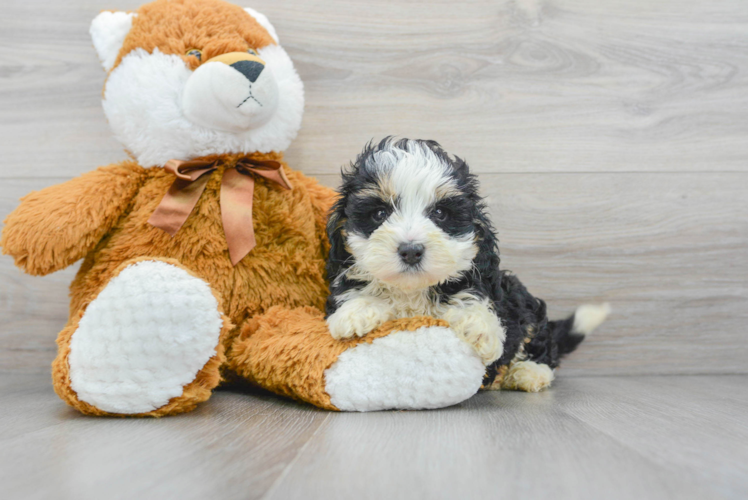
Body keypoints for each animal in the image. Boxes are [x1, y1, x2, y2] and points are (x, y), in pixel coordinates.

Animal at [326, 138, 608, 390]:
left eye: (440, 213)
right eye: (379, 214)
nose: (411, 251)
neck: (413, 292)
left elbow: (474, 302)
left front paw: (479, 328)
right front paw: (356, 313)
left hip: (522, 302)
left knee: (540, 342)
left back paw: (529, 372)